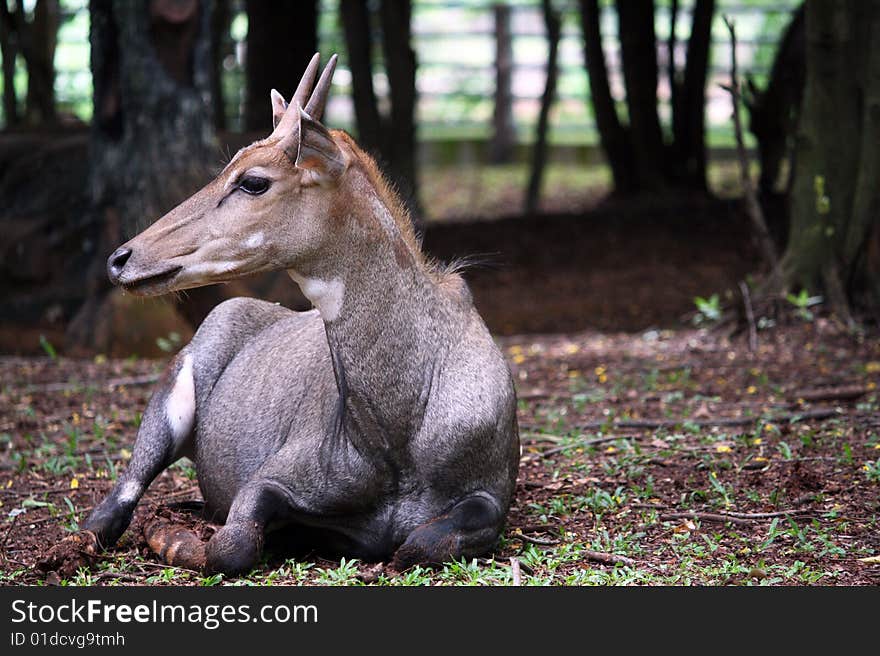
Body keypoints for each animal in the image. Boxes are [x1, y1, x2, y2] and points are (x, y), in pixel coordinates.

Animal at [80, 52, 520, 576]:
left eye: (253, 182)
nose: (120, 259)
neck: (397, 433)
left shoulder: (491, 493)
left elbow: (419, 543)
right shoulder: (269, 478)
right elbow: (230, 544)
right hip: (169, 403)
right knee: (112, 508)